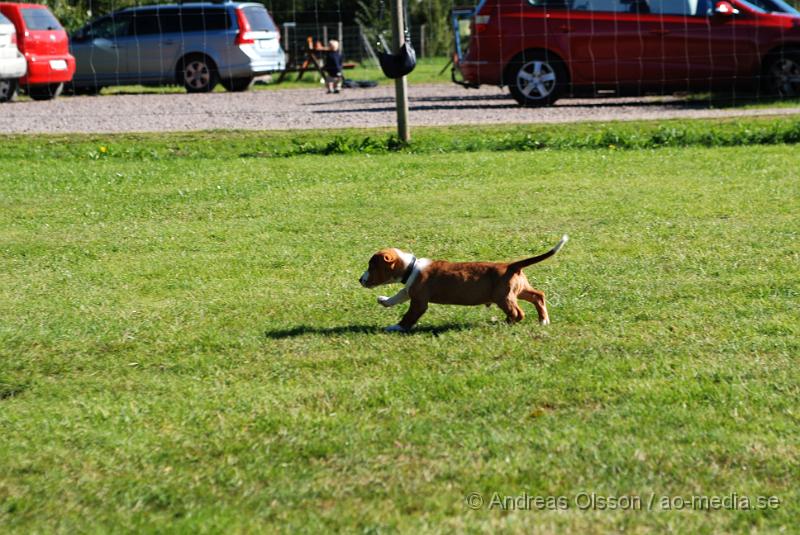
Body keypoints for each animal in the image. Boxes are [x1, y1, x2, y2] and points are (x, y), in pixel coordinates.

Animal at [360, 237, 564, 332]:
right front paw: (384, 300)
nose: (360, 280)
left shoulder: (419, 301)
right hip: (520, 290)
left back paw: (502, 323)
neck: (411, 267)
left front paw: (397, 327)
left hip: (503, 297)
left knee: (518, 313)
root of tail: (511, 265)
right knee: (538, 295)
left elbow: (409, 316)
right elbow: (399, 295)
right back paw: (543, 320)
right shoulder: (410, 290)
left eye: (372, 266)